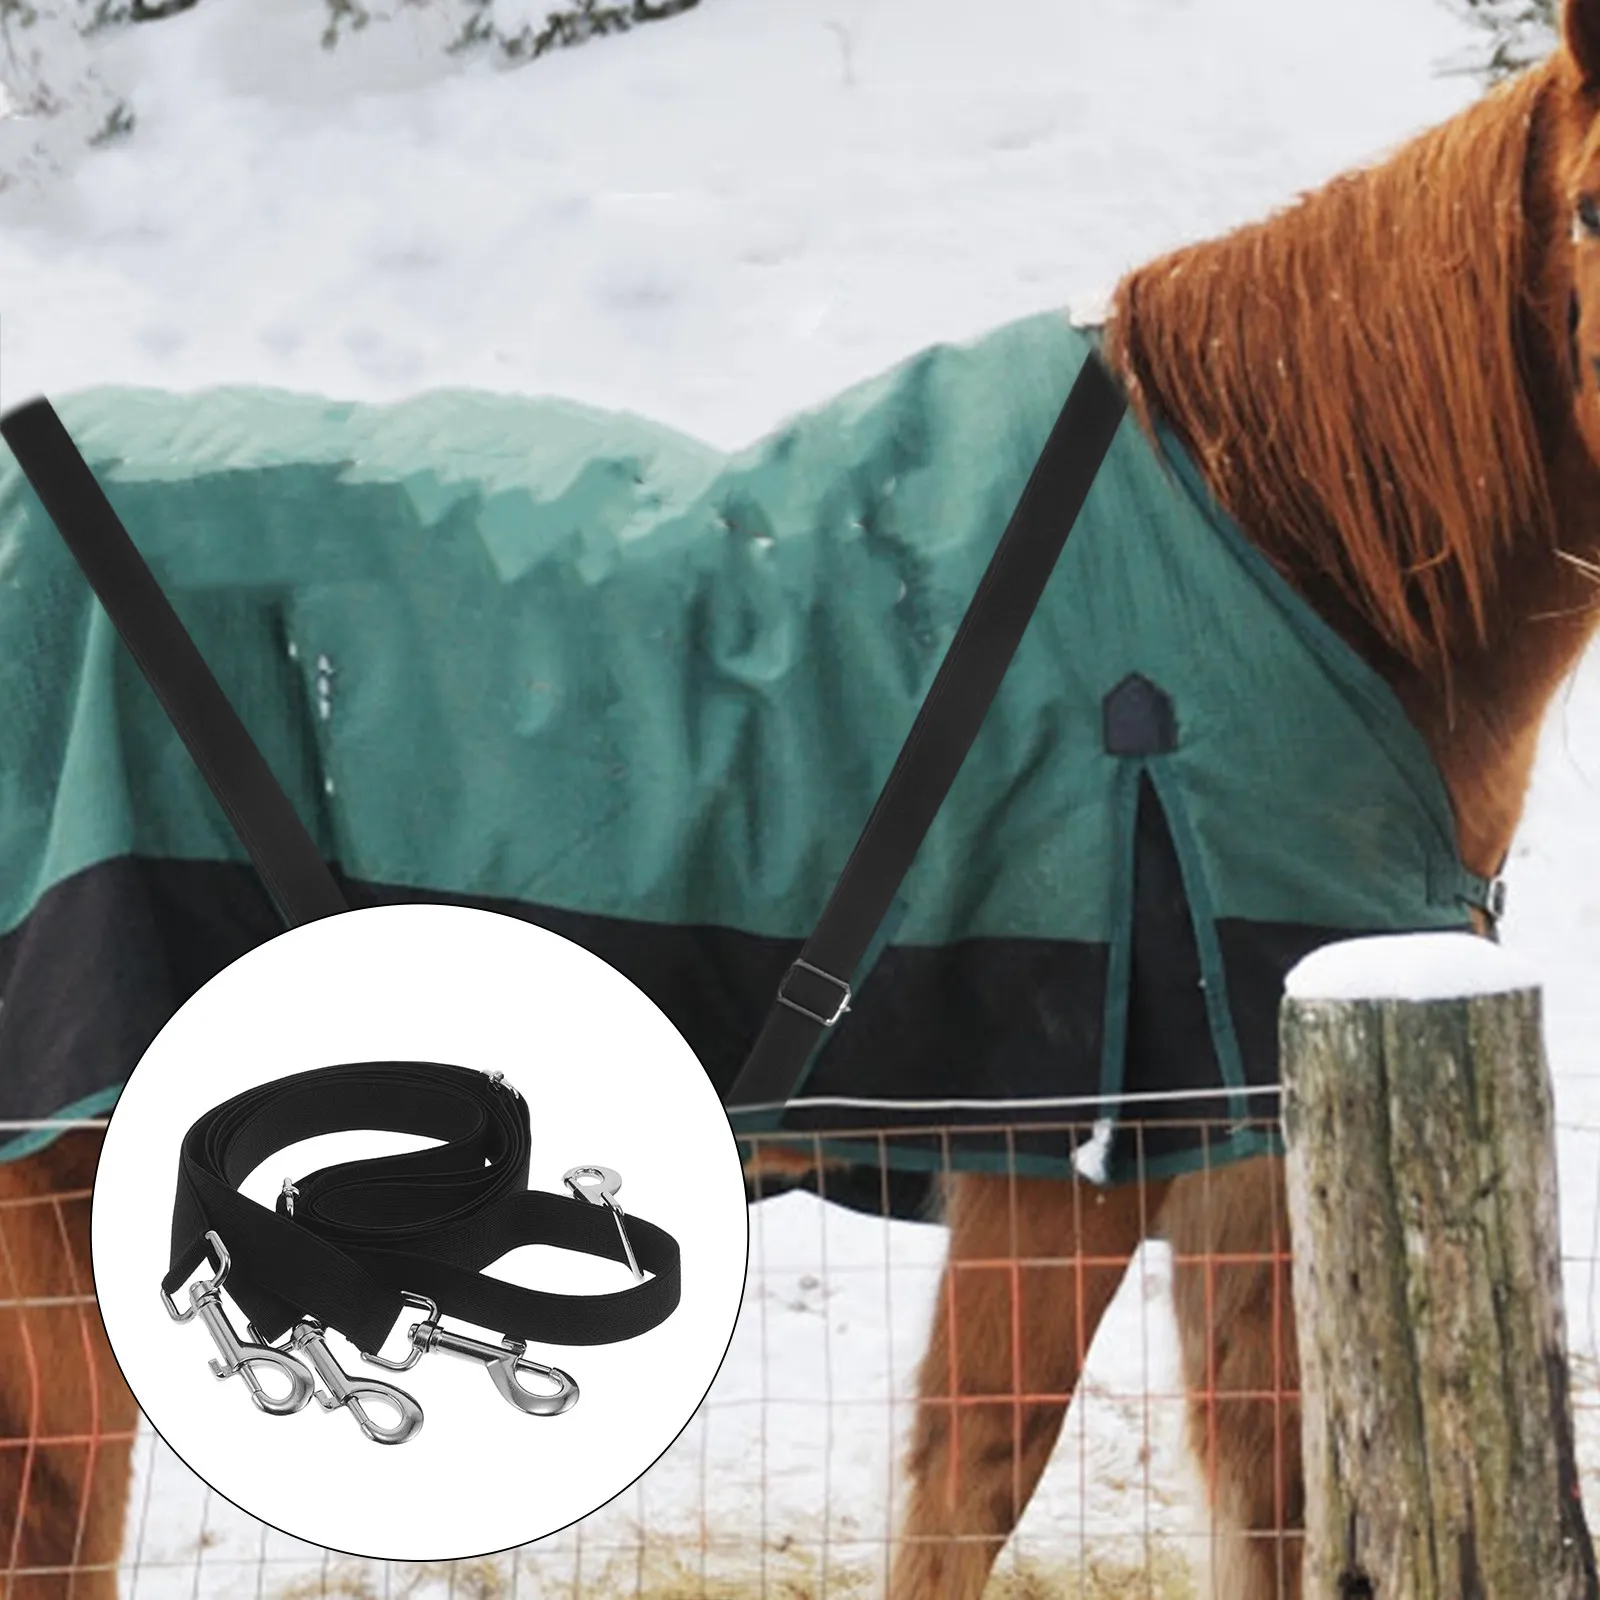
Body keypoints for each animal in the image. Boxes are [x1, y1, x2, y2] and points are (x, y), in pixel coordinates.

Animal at [7, 6, 1600, 1599]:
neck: (1286, 570)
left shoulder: (1238, 1158)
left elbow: (1268, 1498)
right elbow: (973, 1483)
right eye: (1587, 211)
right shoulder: (1056, 1169)